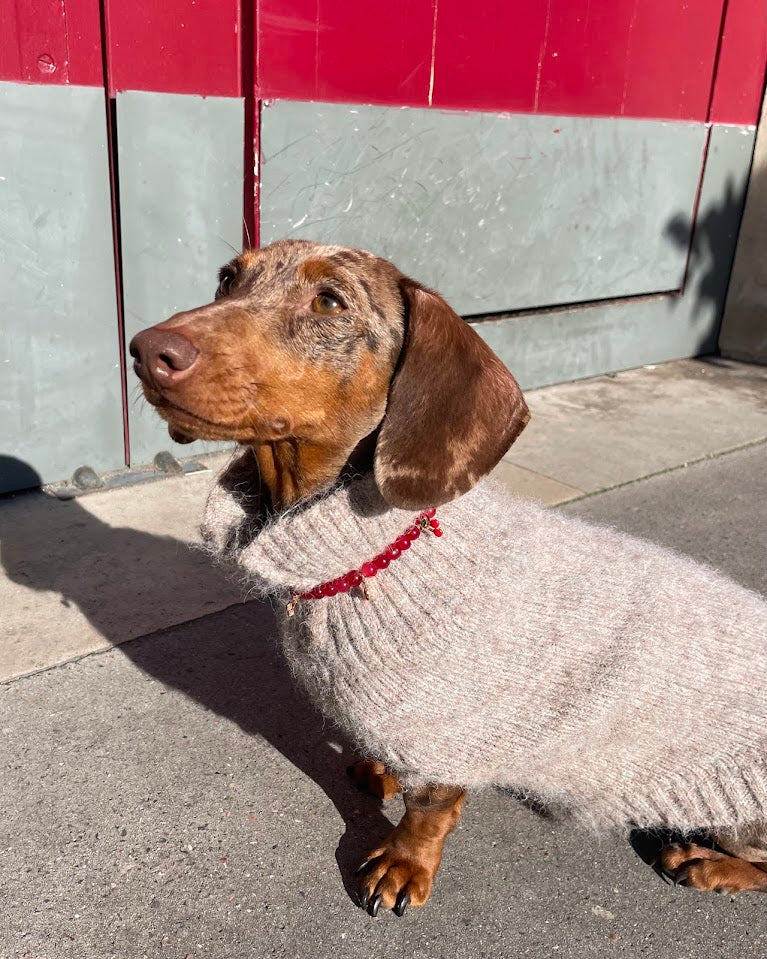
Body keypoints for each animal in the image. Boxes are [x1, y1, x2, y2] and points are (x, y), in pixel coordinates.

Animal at [132, 240, 767, 916]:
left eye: (330, 301)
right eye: (228, 279)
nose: (146, 350)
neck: (378, 553)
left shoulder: (446, 734)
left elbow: (429, 810)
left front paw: (405, 864)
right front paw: (377, 767)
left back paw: (707, 864)